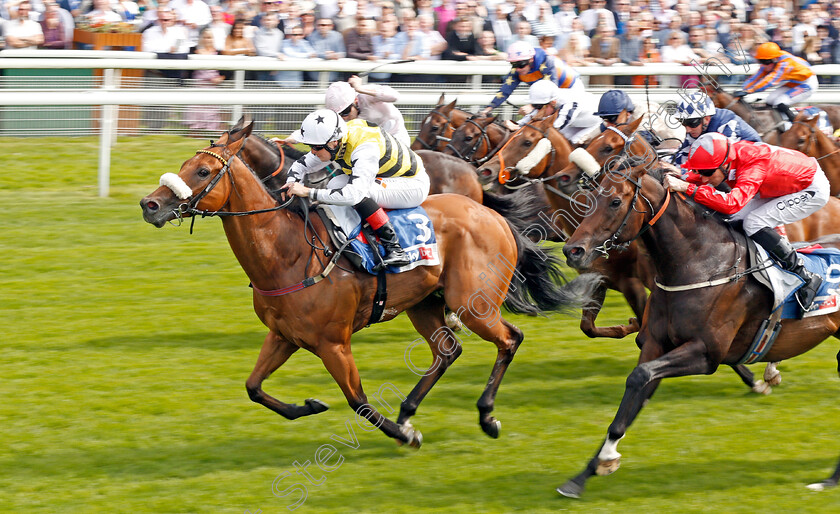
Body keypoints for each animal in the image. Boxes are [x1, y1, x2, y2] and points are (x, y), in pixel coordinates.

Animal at [139, 121, 596, 444]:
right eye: (183, 166)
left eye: (201, 170)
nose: (150, 205)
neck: (287, 254)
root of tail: (494, 216)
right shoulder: (283, 335)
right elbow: (253, 387)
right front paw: (309, 405)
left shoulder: (333, 343)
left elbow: (358, 401)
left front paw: (405, 436)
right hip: (424, 303)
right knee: (448, 350)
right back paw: (408, 408)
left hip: (475, 304)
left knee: (509, 339)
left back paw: (485, 415)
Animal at [556, 157, 840, 496]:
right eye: (590, 198)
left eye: (614, 201)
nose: (573, 251)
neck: (701, 263)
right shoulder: (655, 345)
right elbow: (634, 394)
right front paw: (587, 472)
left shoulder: (706, 353)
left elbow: (639, 377)